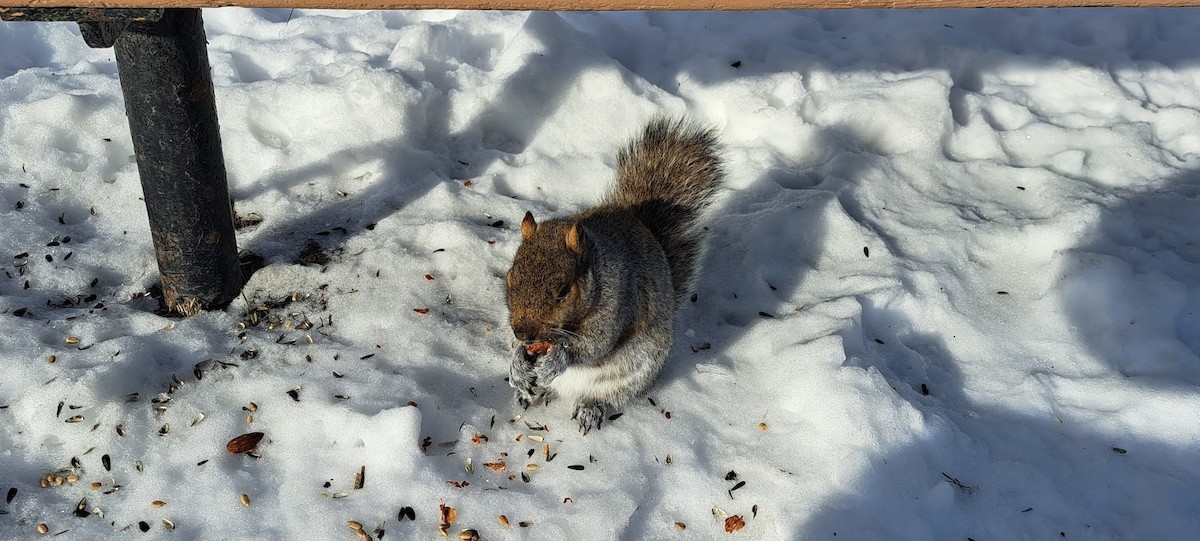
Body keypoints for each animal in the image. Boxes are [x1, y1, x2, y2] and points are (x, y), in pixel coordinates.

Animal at [505, 118, 723, 434]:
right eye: (510, 279)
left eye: (563, 292)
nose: (523, 333)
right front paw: (517, 363)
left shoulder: (620, 305)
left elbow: (595, 346)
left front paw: (558, 357)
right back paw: (531, 391)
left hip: (628, 376)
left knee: (604, 396)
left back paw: (588, 407)